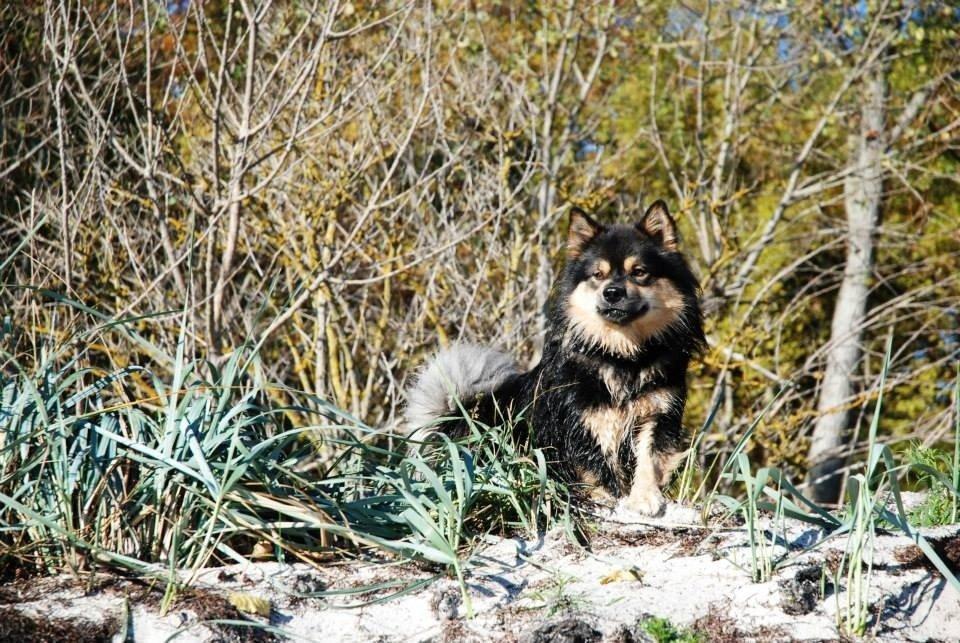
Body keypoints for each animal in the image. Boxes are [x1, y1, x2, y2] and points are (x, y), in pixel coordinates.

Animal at [402, 203, 700, 520]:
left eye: (639, 272)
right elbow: (598, 471)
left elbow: (648, 460)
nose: (612, 292)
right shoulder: (583, 425)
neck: (622, 356)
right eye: (598, 274)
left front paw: (644, 497)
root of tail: (455, 415)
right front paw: (609, 499)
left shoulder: (656, 415)